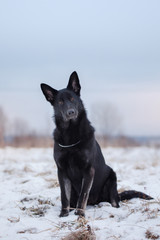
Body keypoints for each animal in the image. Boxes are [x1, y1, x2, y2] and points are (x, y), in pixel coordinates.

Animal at [40, 71, 152, 218]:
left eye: (72, 99)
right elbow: (64, 195)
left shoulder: (88, 170)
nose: (71, 112)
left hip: (112, 178)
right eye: (60, 102)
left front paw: (80, 214)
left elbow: (83, 194)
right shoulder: (61, 171)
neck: (71, 134)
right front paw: (64, 214)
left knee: (115, 202)